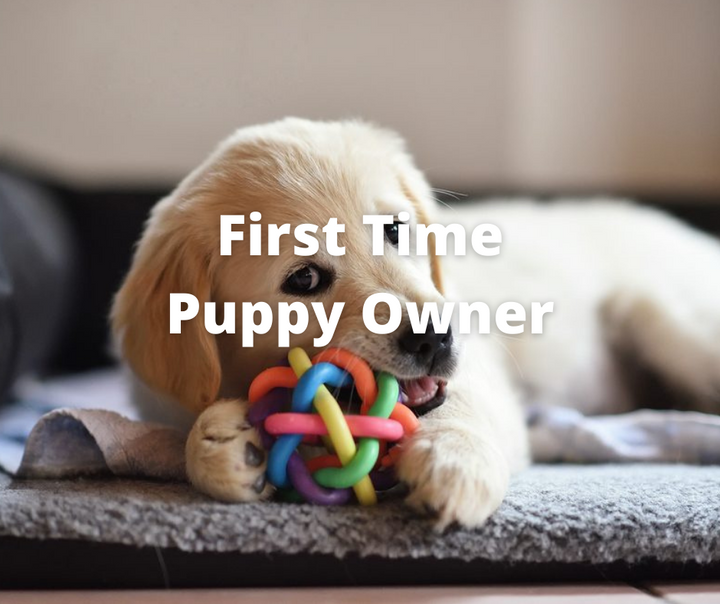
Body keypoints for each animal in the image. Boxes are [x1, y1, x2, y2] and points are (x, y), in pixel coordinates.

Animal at [111, 115, 720, 528]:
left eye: (396, 229)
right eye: (303, 279)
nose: (435, 338)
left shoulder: (480, 372)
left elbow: (460, 406)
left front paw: (454, 463)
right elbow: (185, 434)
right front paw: (220, 444)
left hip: (664, 316)